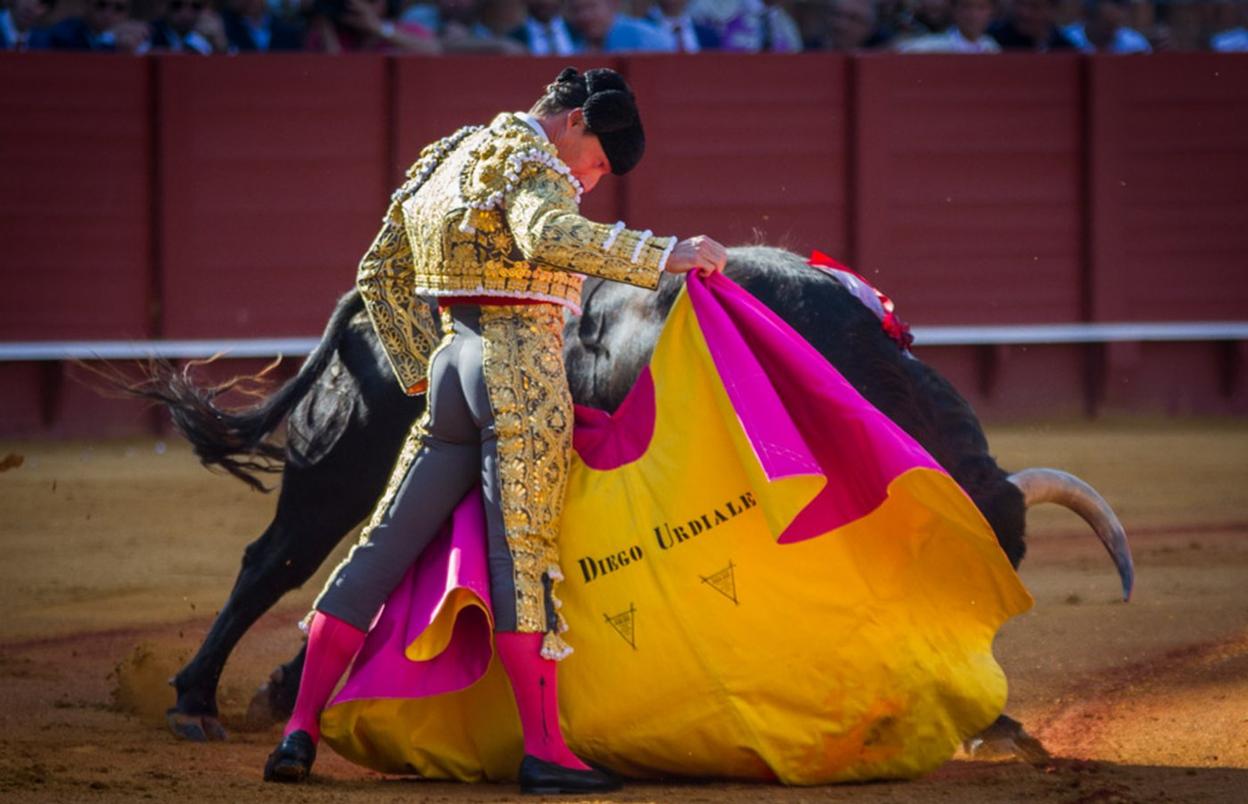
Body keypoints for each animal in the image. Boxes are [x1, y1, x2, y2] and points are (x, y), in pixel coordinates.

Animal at [124, 244, 1133, 759]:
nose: (986, 720)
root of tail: (374, 301)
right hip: (343, 465)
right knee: (276, 562)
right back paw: (197, 702)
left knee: (366, 573)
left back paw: (279, 694)